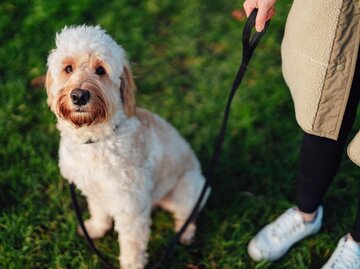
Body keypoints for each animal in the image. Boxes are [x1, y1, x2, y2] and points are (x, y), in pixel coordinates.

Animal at [45, 24, 210, 266]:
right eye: (68, 68)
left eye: (101, 70)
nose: (79, 96)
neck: (95, 139)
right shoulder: (94, 190)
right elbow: (99, 211)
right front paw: (95, 228)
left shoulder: (131, 206)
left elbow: (132, 244)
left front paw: (131, 264)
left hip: (188, 190)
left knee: (187, 214)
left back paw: (185, 233)